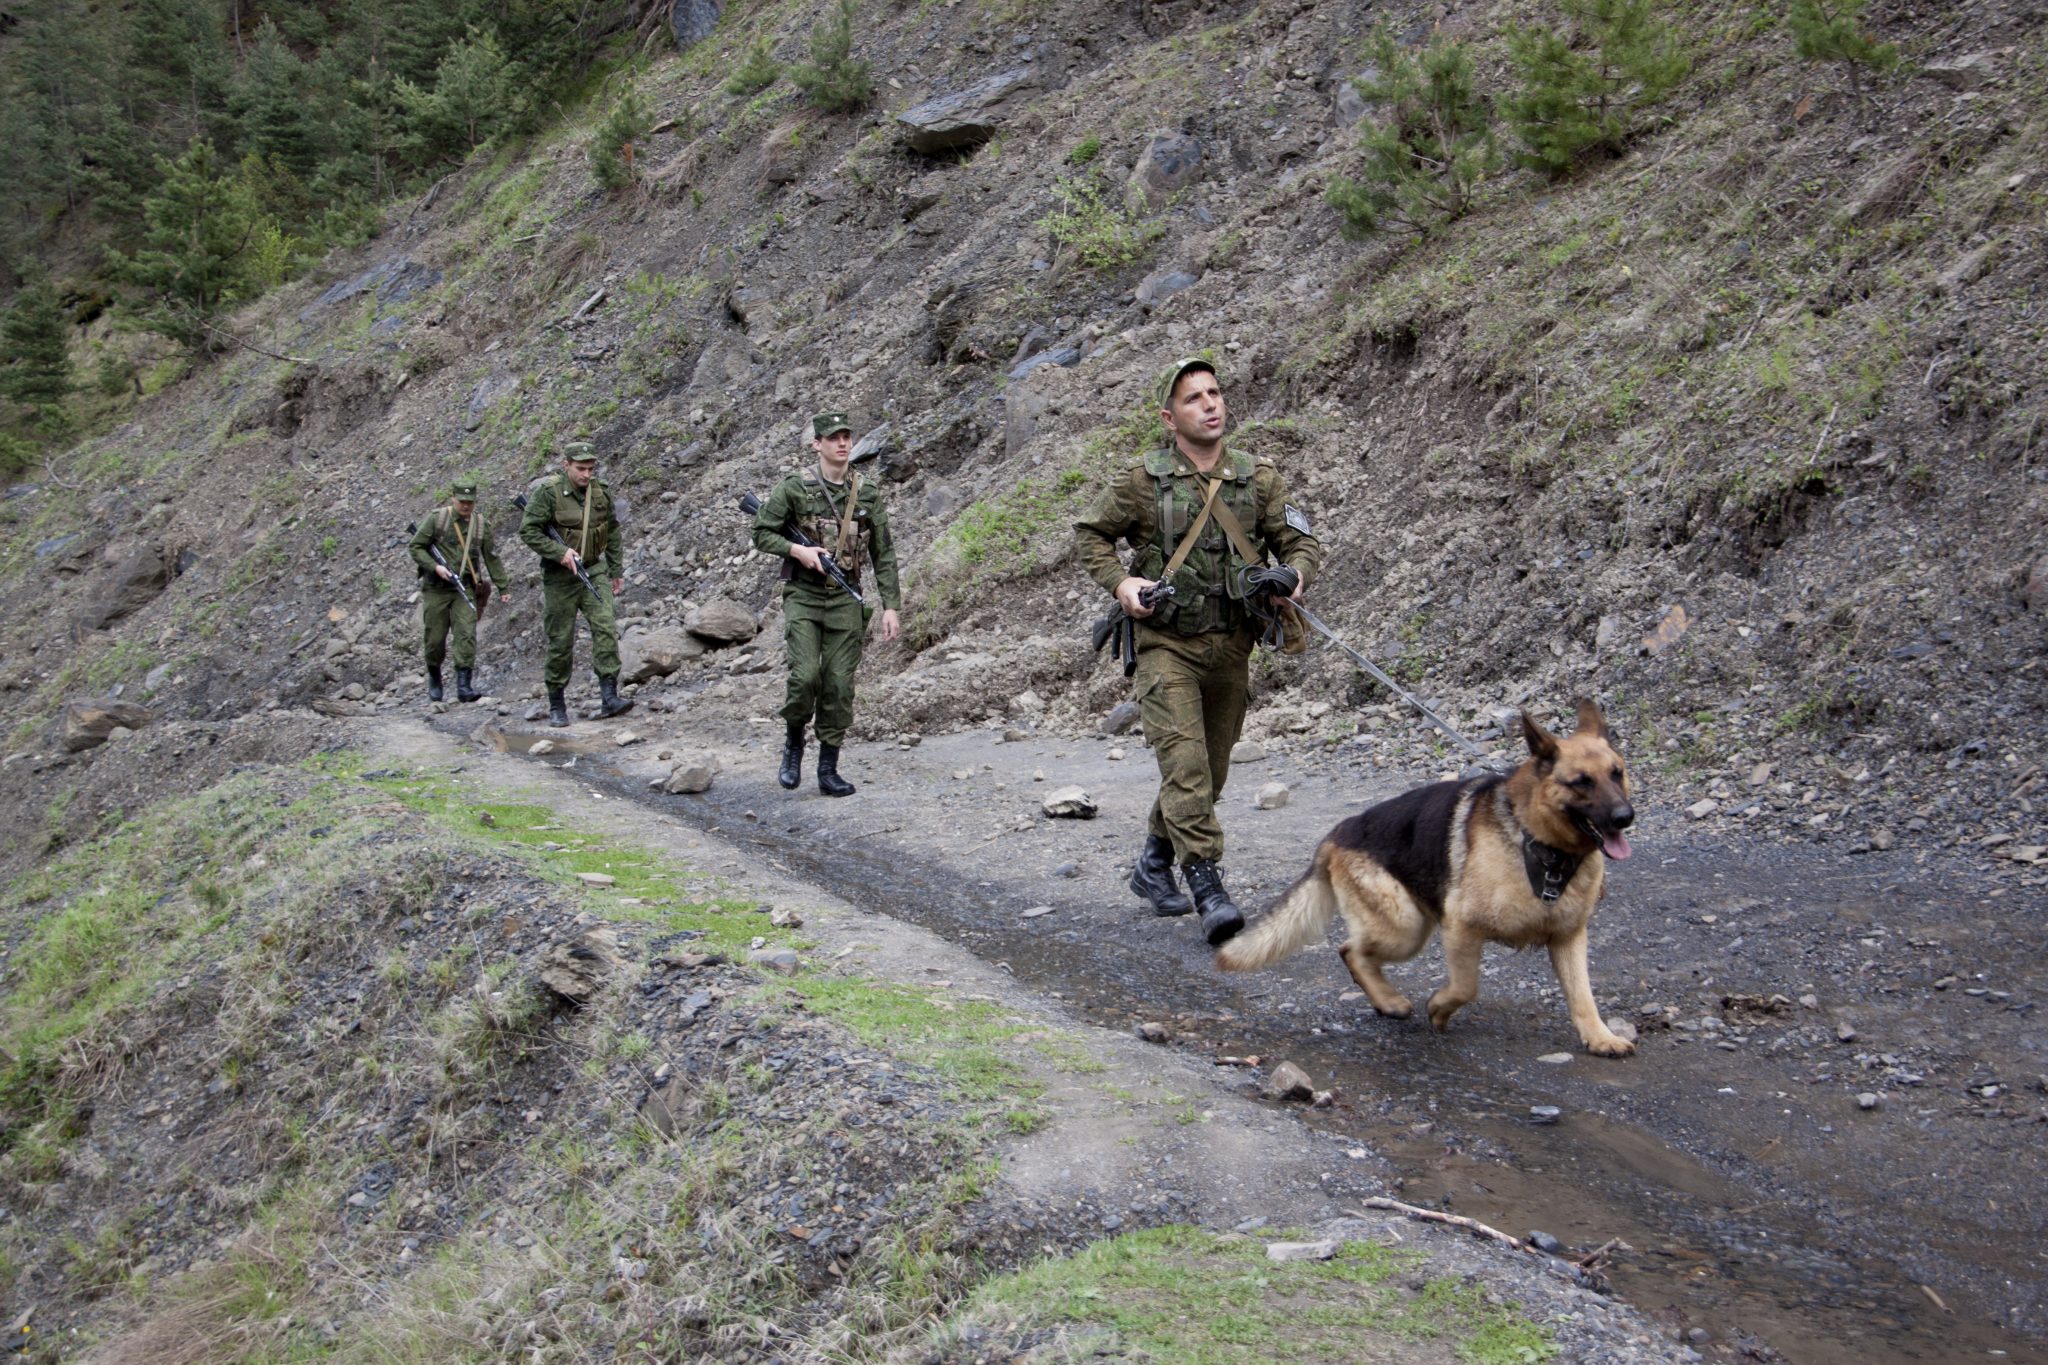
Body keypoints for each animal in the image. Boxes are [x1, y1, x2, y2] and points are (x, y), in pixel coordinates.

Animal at [1212, 699, 1630, 1064]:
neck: (1539, 842)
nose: (1626, 817)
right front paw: (1440, 1008)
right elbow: (1465, 985)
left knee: (1353, 950)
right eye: (1581, 782)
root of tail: (1335, 834)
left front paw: (1600, 1037)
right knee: (1351, 950)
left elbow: (1582, 995)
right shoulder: (1461, 929)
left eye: (1617, 773)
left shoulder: (1568, 938)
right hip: (1406, 928)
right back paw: (1389, 1001)